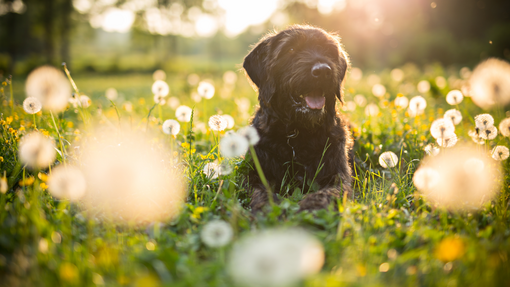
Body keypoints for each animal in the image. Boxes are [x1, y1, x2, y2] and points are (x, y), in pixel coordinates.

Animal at [245, 25, 352, 214]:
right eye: (291, 50)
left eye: (328, 51)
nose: (323, 70)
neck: (298, 135)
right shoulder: (254, 173)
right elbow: (259, 191)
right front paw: (268, 208)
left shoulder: (338, 175)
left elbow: (329, 192)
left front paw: (312, 207)